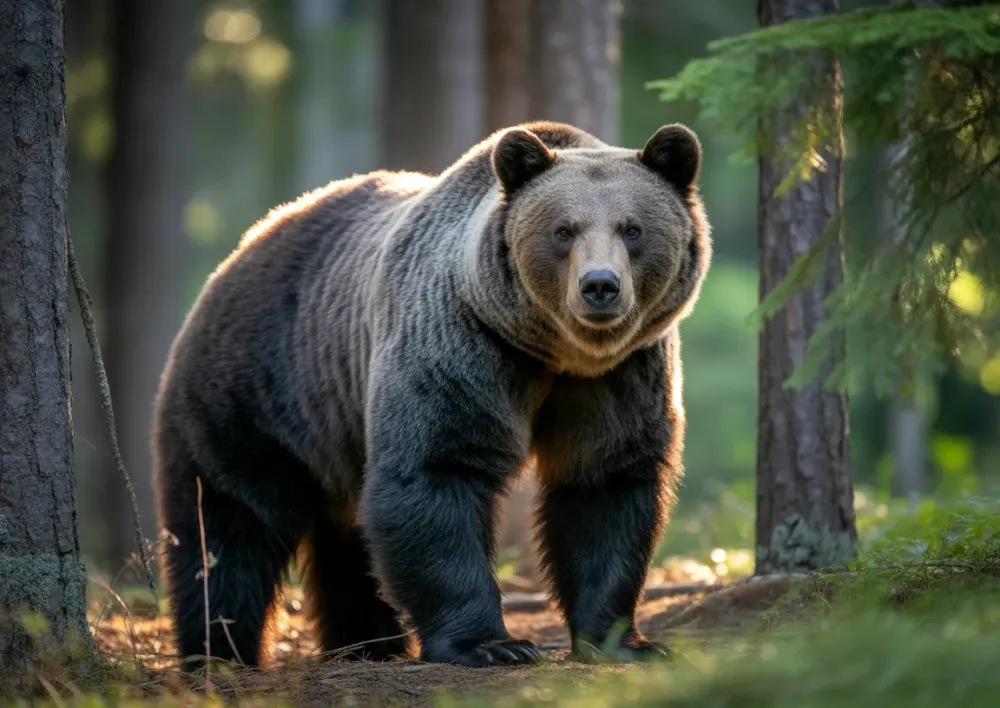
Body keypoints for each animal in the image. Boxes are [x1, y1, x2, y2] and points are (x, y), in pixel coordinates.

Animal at [152, 120, 711, 670]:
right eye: (563, 230)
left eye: (632, 229)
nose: (599, 286)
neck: (554, 353)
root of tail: (244, 246)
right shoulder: (459, 341)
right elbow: (438, 469)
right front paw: (491, 644)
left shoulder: (620, 374)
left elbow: (606, 482)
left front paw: (624, 640)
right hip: (258, 388)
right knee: (228, 522)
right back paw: (220, 651)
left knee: (345, 540)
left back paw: (367, 644)